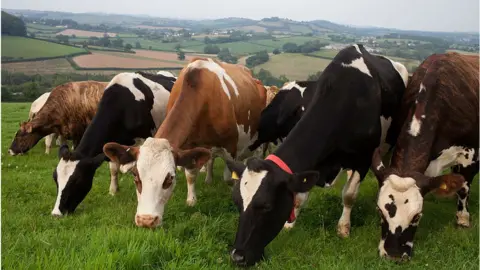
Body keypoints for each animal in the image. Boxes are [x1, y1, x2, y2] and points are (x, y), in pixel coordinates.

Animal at [50, 71, 174, 215]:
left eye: (77, 180)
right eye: (55, 178)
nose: (56, 213)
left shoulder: (144, 139)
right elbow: (114, 169)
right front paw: (113, 191)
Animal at [102, 56, 266, 228]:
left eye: (169, 178)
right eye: (136, 176)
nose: (146, 220)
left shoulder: (230, 148)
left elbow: (229, 177)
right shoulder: (189, 146)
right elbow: (191, 175)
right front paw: (191, 200)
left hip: (258, 137)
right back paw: (208, 179)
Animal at [225, 44, 408, 266]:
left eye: (267, 206)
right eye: (237, 202)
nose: (237, 256)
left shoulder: (363, 159)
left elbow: (349, 195)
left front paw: (343, 228)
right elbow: (299, 196)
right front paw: (289, 225)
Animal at [370, 52, 478, 262]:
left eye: (417, 216)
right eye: (380, 212)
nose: (394, 255)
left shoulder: (470, 153)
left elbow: (464, 187)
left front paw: (462, 218)